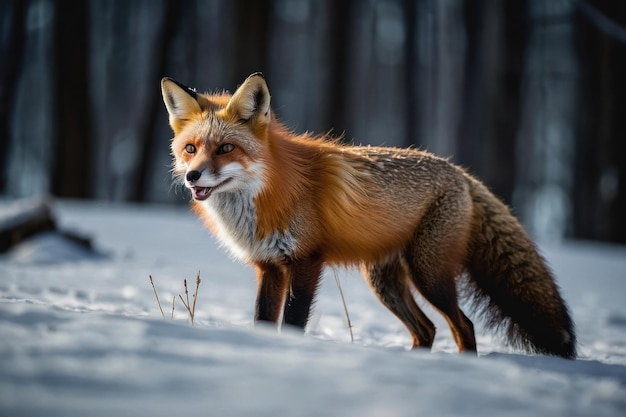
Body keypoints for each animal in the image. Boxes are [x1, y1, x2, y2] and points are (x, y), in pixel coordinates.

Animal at [161, 72, 576, 358]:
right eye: (191, 149)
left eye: (226, 148)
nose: (193, 176)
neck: (267, 194)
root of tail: (460, 172)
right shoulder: (269, 266)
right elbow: (263, 323)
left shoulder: (306, 261)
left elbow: (292, 323)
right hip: (384, 282)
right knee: (427, 330)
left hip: (429, 274)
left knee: (464, 326)